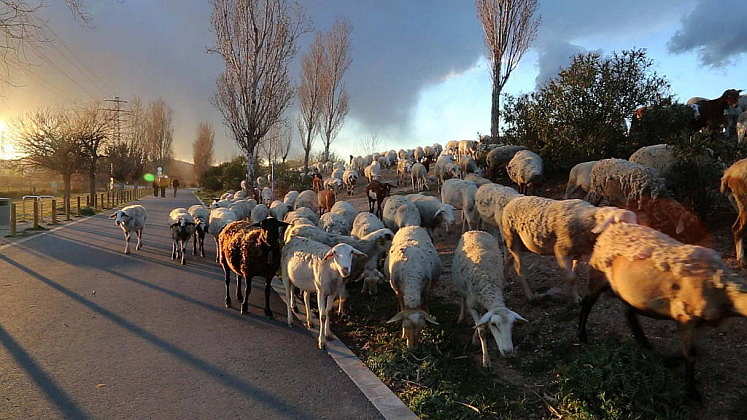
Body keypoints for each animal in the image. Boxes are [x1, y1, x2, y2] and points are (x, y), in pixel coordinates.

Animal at [450, 231, 524, 366]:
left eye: (513, 325)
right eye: (494, 324)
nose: (508, 352)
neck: (487, 282)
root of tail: (475, 230)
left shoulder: (485, 306)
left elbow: (481, 322)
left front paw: (475, 337)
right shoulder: (472, 306)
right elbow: (481, 330)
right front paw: (486, 359)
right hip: (460, 286)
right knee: (462, 299)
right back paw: (461, 318)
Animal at [502, 195, 636, 300]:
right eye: (619, 223)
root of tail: (513, 200)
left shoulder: (578, 252)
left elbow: (574, 274)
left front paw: (575, 295)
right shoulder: (561, 251)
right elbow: (571, 278)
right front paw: (575, 298)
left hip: (522, 244)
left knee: (508, 259)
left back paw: (505, 280)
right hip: (511, 238)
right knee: (519, 268)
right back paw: (530, 296)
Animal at [580, 221, 747, 398]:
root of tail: (615, 225)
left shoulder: (701, 323)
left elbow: (692, 351)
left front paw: (673, 360)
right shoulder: (685, 318)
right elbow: (690, 355)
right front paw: (691, 391)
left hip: (628, 292)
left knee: (629, 313)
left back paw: (645, 343)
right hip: (597, 274)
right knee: (588, 303)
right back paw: (582, 335)